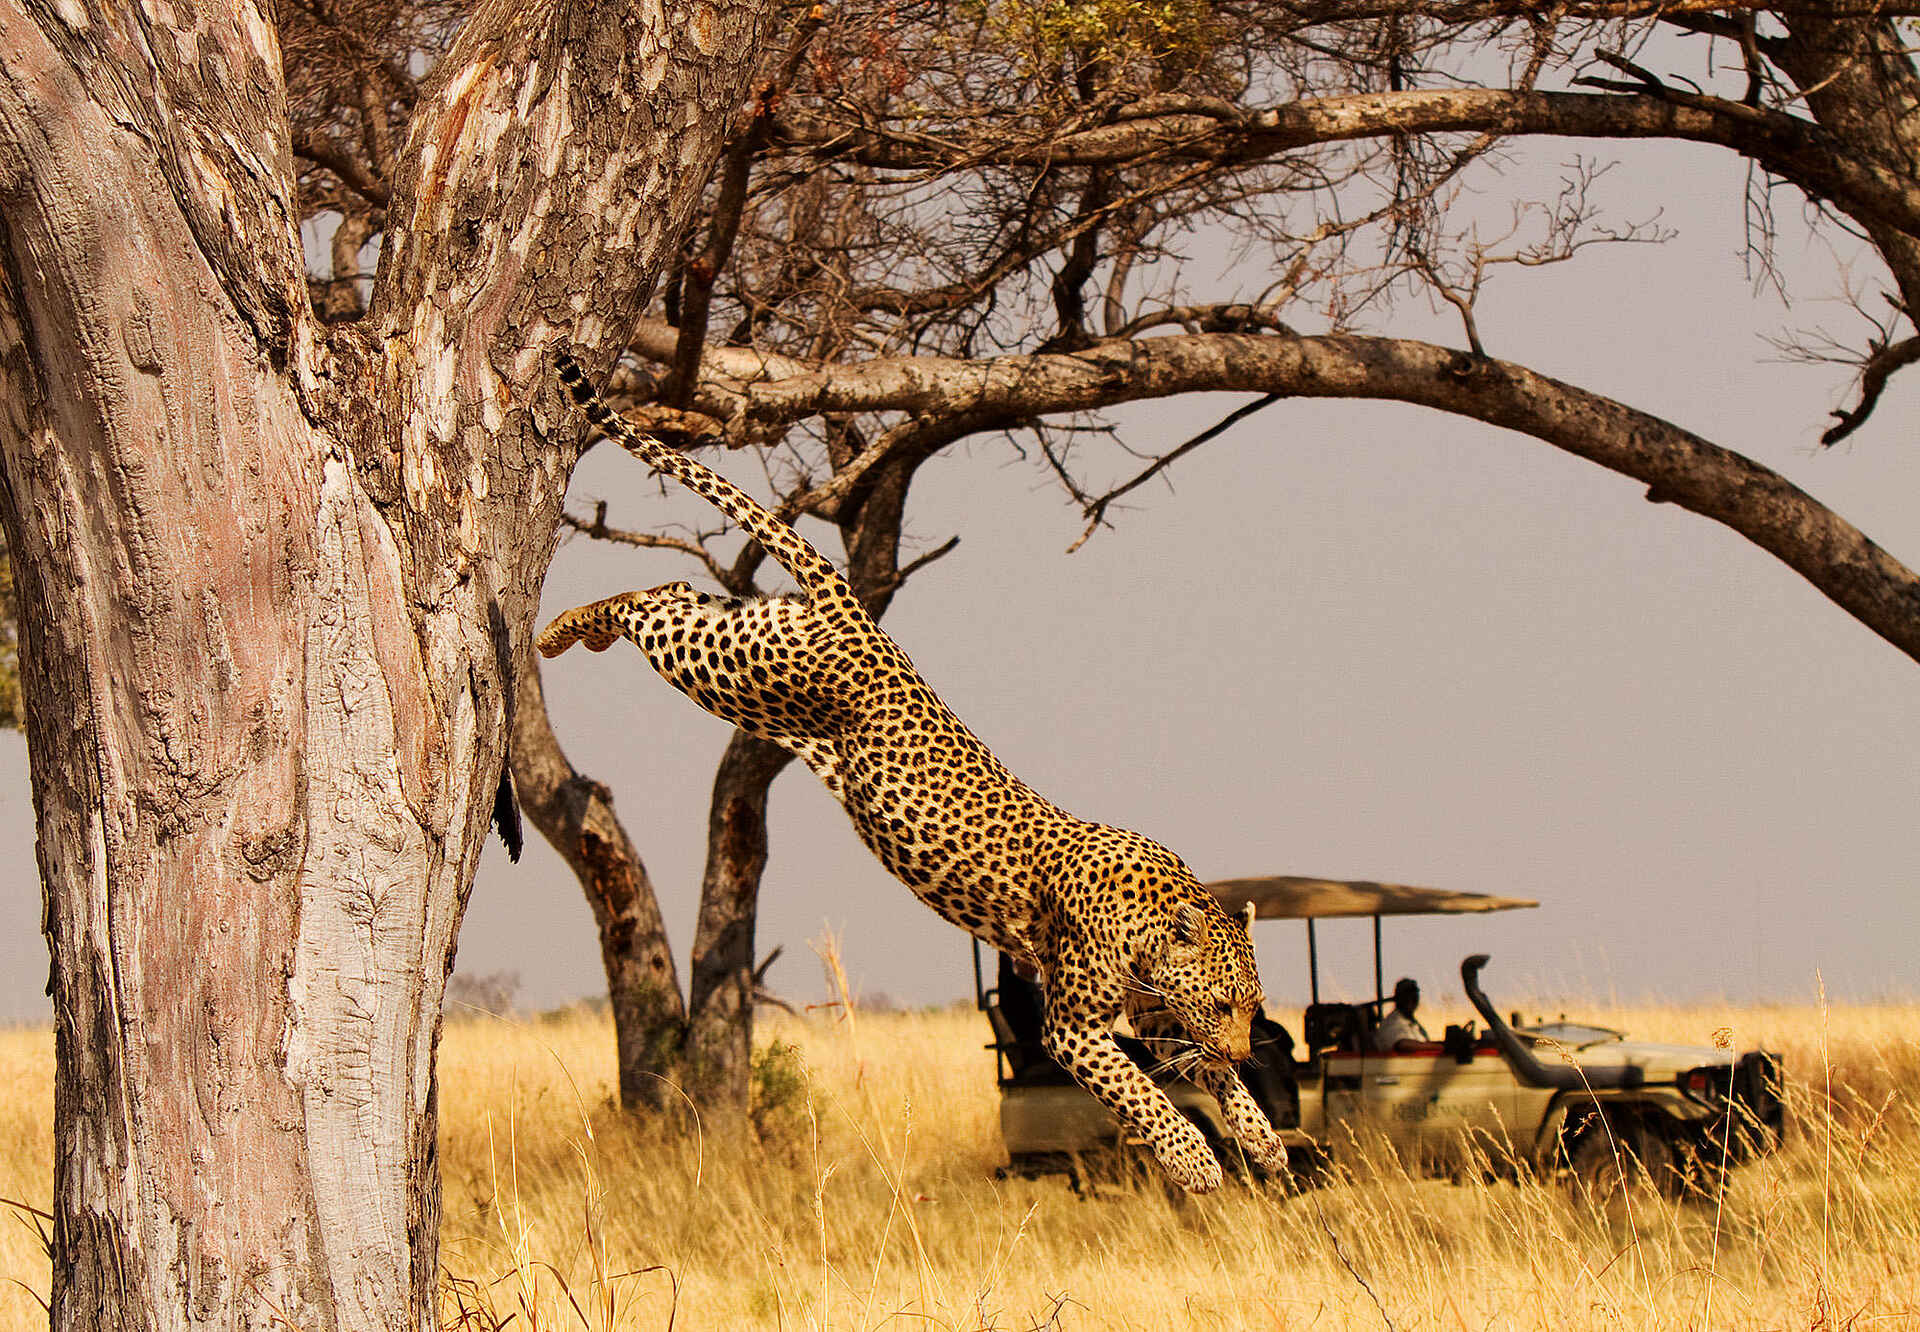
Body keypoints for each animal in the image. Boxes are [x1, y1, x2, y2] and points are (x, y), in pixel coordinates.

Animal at [537, 348, 1285, 1192]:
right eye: (1225, 1003)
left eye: (1253, 1006)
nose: (1246, 1042)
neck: (1153, 921)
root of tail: (855, 610)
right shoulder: (1072, 1028)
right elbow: (1140, 1092)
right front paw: (1194, 1160)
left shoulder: (1153, 1013)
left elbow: (1206, 1076)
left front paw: (1261, 1136)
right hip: (736, 671)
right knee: (648, 606)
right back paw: (559, 630)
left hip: (743, 641)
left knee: (671, 589)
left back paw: (571, 627)